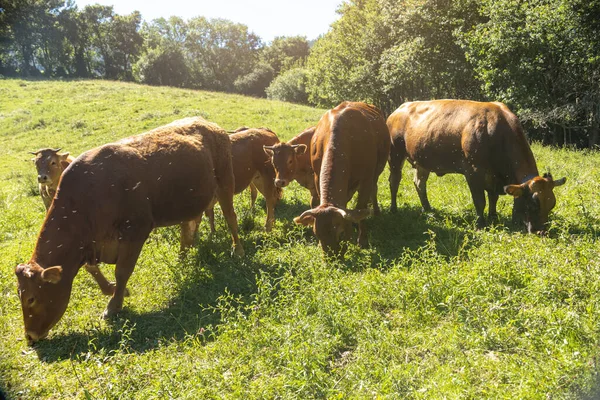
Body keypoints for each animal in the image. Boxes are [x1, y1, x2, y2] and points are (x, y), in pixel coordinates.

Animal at [14, 116, 244, 344]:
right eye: (19, 294)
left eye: (31, 298)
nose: (30, 336)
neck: (90, 194)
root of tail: (209, 124)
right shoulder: (91, 243)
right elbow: (92, 268)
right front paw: (113, 289)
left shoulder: (135, 231)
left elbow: (122, 270)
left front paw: (113, 305)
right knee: (188, 228)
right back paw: (183, 258)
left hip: (225, 182)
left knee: (230, 217)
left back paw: (237, 250)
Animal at [294, 101, 390, 255]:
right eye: (317, 234)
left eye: (341, 233)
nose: (331, 258)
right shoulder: (316, 176)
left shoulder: (366, 180)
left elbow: (361, 207)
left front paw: (362, 240)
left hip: (376, 174)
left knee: (373, 191)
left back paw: (376, 211)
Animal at [386, 98, 564, 233]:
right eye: (534, 204)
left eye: (552, 204)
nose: (541, 231)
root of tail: (398, 110)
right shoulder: (473, 171)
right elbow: (480, 200)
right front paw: (481, 223)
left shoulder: (493, 176)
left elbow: (493, 197)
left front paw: (493, 216)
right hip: (395, 154)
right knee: (394, 181)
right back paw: (394, 209)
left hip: (422, 160)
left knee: (419, 183)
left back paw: (428, 209)